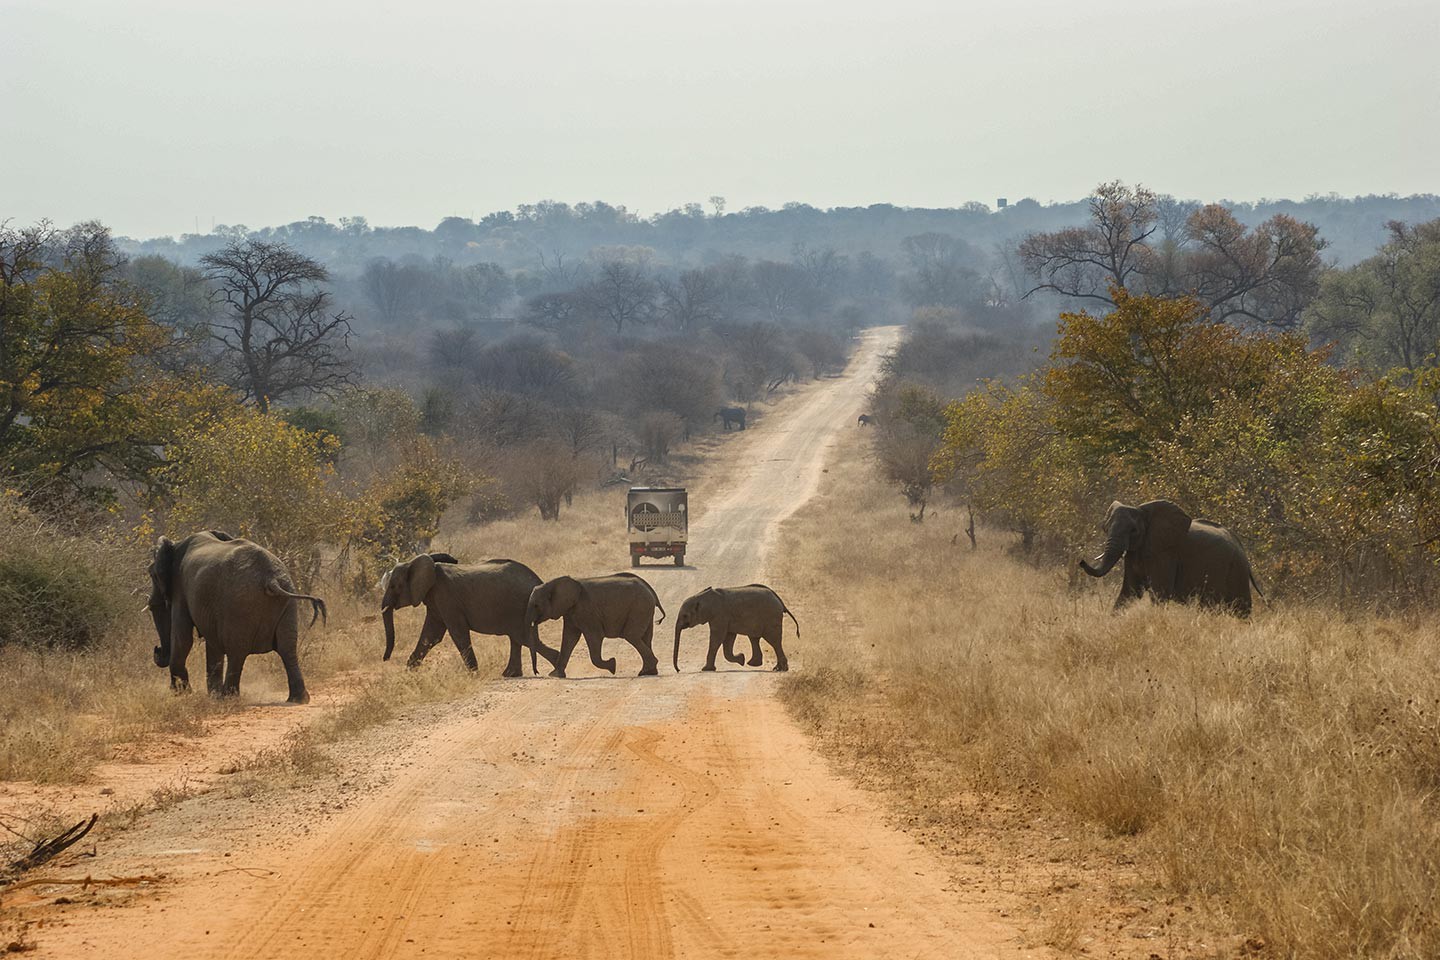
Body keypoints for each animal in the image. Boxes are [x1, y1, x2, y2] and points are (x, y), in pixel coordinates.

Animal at [146, 529, 326, 702]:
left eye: (151, 574)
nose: (157, 649)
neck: (174, 545)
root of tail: (271, 579)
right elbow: (212, 644)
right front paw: (211, 696)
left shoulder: (180, 589)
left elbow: (183, 638)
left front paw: (183, 694)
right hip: (287, 602)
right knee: (287, 648)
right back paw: (298, 699)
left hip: (239, 604)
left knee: (236, 651)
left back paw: (229, 697)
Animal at [380, 552, 558, 679]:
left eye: (394, 586)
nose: (385, 659)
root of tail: (539, 582)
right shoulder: (435, 602)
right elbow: (431, 636)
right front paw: (407, 675)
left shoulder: (447, 598)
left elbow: (457, 634)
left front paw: (474, 675)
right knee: (518, 638)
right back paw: (511, 674)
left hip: (520, 607)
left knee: (523, 638)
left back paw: (555, 668)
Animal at [527, 575, 665, 679]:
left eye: (536, 605)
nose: (537, 672)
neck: (552, 583)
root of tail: (651, 591)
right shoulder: (570, 611)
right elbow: (569, 638)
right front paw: (555, 675)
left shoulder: (586, 610)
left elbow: (594, 636)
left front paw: (612, 665)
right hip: (645, 610)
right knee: (645, 638)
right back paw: (648, 672)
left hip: (639, 608)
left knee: (631, 636)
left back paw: (645, 671)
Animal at [1082, 503, 1261, 616]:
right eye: (1105, 528)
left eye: (1133, 530)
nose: (1081, 561)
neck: (1143, 511)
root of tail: (1241, 546)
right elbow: (1130, 591)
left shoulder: (1165, 553)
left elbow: (1160, 593)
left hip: (1237, 570)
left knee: (1241, 608)